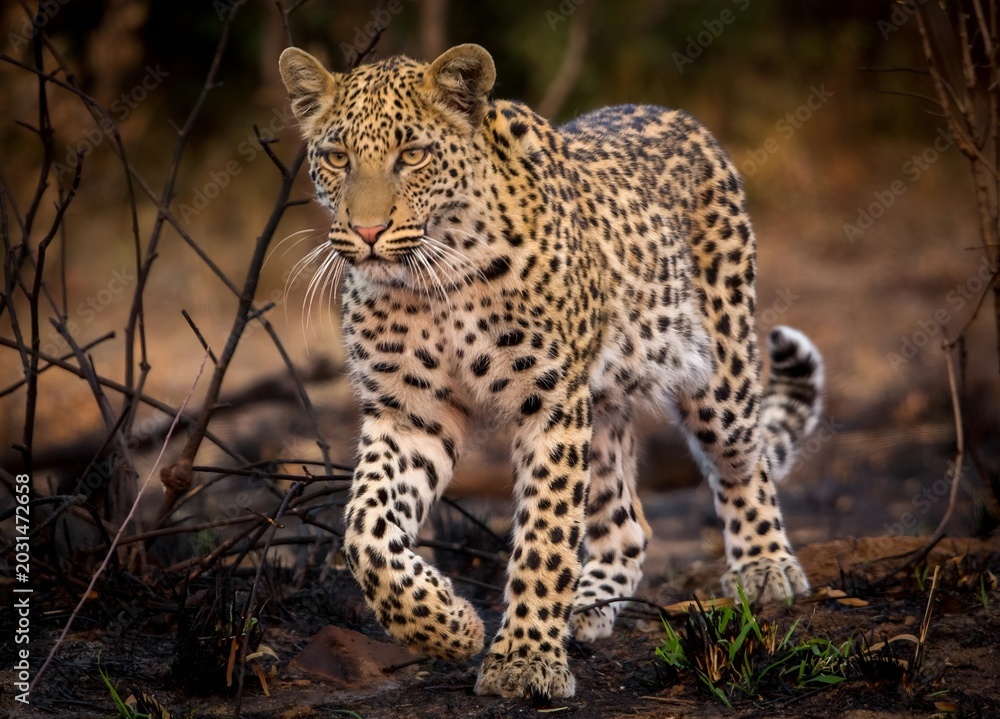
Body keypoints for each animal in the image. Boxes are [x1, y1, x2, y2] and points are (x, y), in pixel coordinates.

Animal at [277, 43, 823, 701]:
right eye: (337, 157)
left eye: (413, 155)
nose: (367, 233)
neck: (434, 281)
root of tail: (679, 115)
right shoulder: (409, 412)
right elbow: (365, 531)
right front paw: (448, 627)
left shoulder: (552, 400)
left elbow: (544, 533)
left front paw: (524, 661)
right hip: (604, 403)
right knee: (627, 521)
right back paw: (588, 602)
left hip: (719, 372)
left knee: (746, 461)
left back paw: (765, 566)